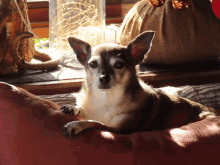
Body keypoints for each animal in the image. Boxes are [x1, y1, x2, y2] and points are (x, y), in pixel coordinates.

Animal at [61, 31, 217, 137]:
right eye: (93, 64)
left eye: (119, 65)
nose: (103, 78)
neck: (106, 99)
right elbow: (85, 111)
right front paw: (73, 108)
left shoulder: (118, 130)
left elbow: (95, 122)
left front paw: (76, 124)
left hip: (205, 117)